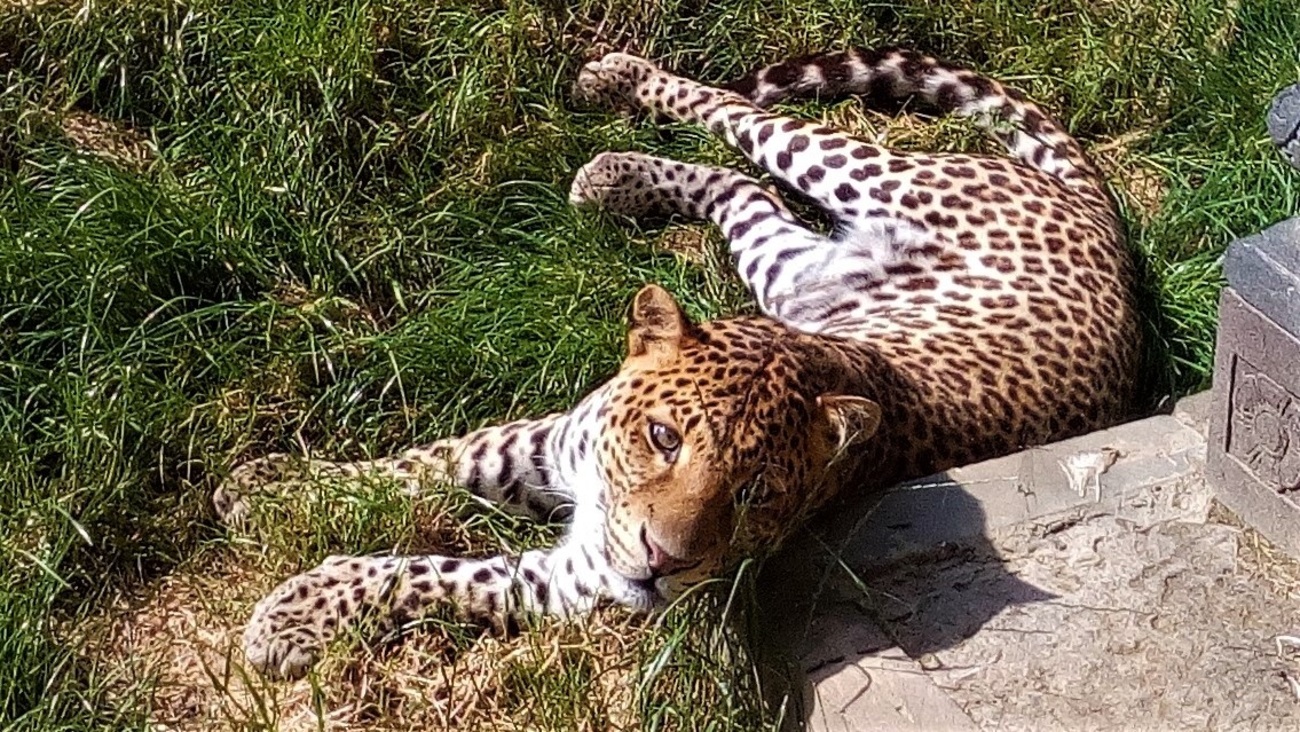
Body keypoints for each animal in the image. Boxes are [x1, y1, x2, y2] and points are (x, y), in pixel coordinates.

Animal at [220, 47, 1138, 681]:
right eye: (663, 438)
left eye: (757, 492)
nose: (664, 561)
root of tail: (1105, 224)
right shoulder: (545, 444)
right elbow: (418, 466)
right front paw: (269, 490)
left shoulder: (575, 580)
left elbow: (428, 572)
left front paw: (290, 613)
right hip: (841, 204)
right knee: (739, 135)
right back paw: (617, 119)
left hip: (800, 259)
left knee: (742, 175)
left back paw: (614, 158)